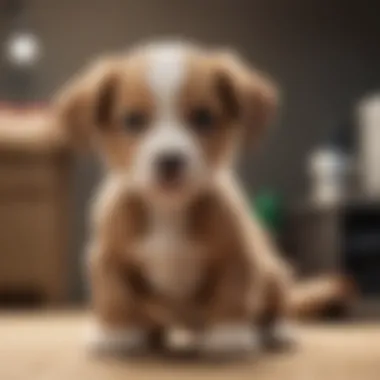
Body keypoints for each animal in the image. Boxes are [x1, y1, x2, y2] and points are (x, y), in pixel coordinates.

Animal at [52, 40, 350, 358]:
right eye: (133, 121)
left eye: (204, 117)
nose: (169, 160)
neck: (168, 211)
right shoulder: (108, 260)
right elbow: (115, 299)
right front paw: (117, 336)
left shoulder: (237, 257)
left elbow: (231, 297)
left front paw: (228, 337)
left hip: (274, 274)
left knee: (278, 307)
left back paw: (277, 332)